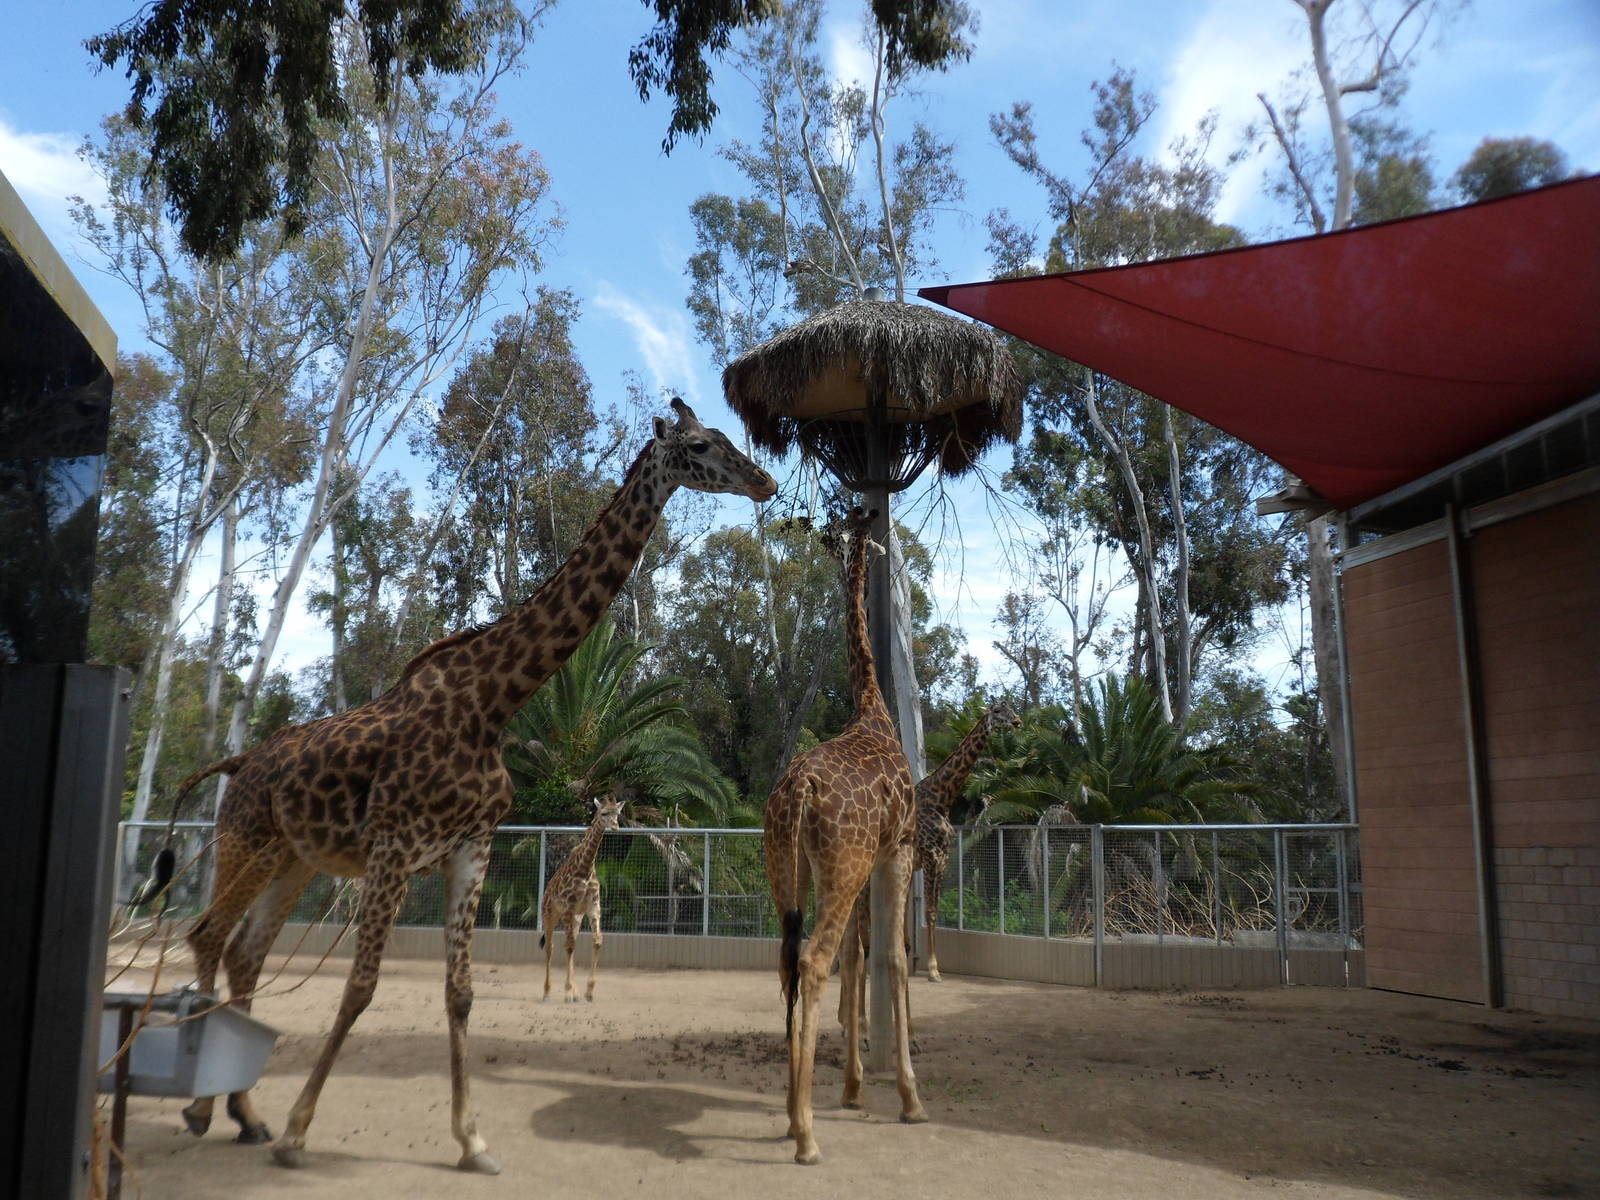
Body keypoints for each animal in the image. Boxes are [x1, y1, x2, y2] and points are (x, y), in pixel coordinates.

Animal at [539, 795, 623, 1003]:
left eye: (618, 813)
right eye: (604, 813)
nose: (616, 826)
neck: (585, 869)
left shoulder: (593, 905)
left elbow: (597, 940)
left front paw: (588, 991)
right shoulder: (569, 907)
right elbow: (568, 945)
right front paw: (568, 991)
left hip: (576, 918)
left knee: (569, 943)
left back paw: (574, 992)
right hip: (550, 915)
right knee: (551, 947)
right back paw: (547, 992)